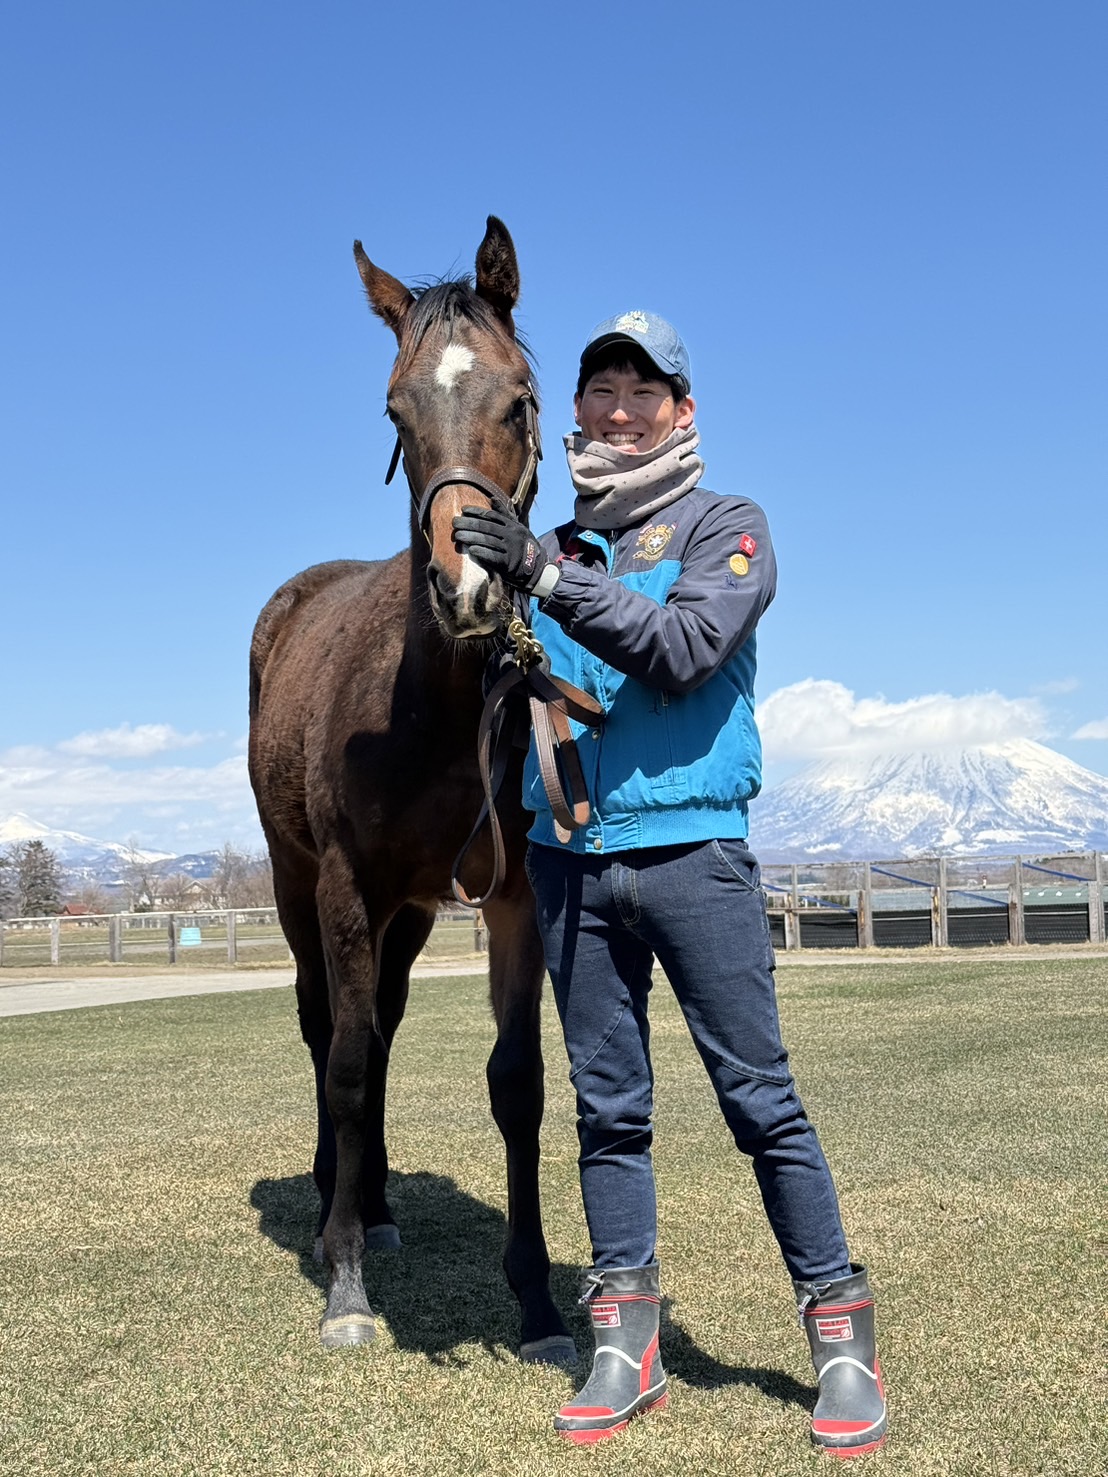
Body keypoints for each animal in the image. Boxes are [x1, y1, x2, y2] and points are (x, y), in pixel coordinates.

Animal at [248, 215, 576, 1358]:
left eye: (519, 399)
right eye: (397, 410)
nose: (468, 584)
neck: (438, 710)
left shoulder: (511, 896)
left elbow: (516, 1086)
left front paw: (537, 1301)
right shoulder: (347, 889)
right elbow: (345, 1065)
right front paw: (345, 1282)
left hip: (417, 912)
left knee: (381, 1023)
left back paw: (380, 1203)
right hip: (298, 885)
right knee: (329, 1031)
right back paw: (333, 1206)